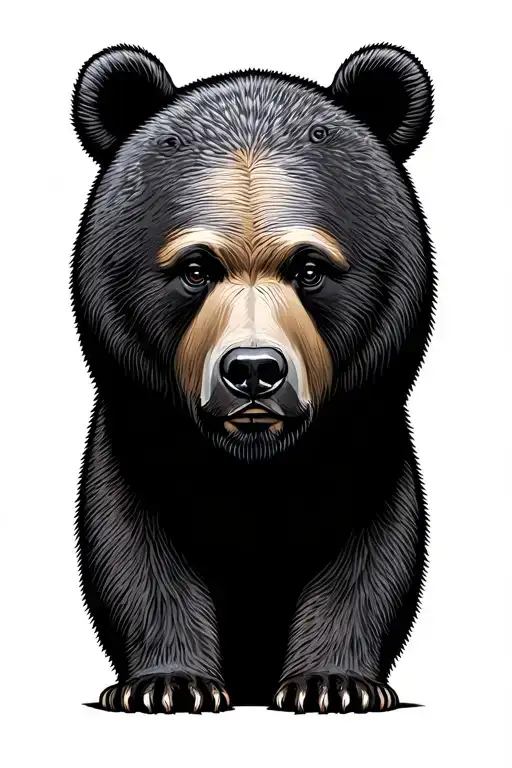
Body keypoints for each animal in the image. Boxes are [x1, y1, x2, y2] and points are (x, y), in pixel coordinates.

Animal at [71, 42, 434, 714]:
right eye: (196, 268)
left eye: (310, 268)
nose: (254, 371)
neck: (254, 462)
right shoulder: (136, 417)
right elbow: (129, 543)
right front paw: (168, 684)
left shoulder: (368, 421)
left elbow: (375, 546)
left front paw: (335, 684)